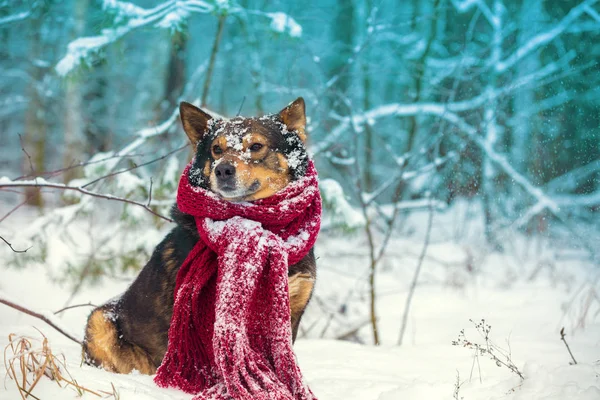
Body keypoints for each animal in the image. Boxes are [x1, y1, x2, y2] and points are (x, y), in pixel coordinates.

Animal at [84, 97, 318, 376]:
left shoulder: (293, 305)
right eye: (216, 149)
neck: (261, 225)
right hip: (100, 320)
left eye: (256, 146)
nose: (223, 170)